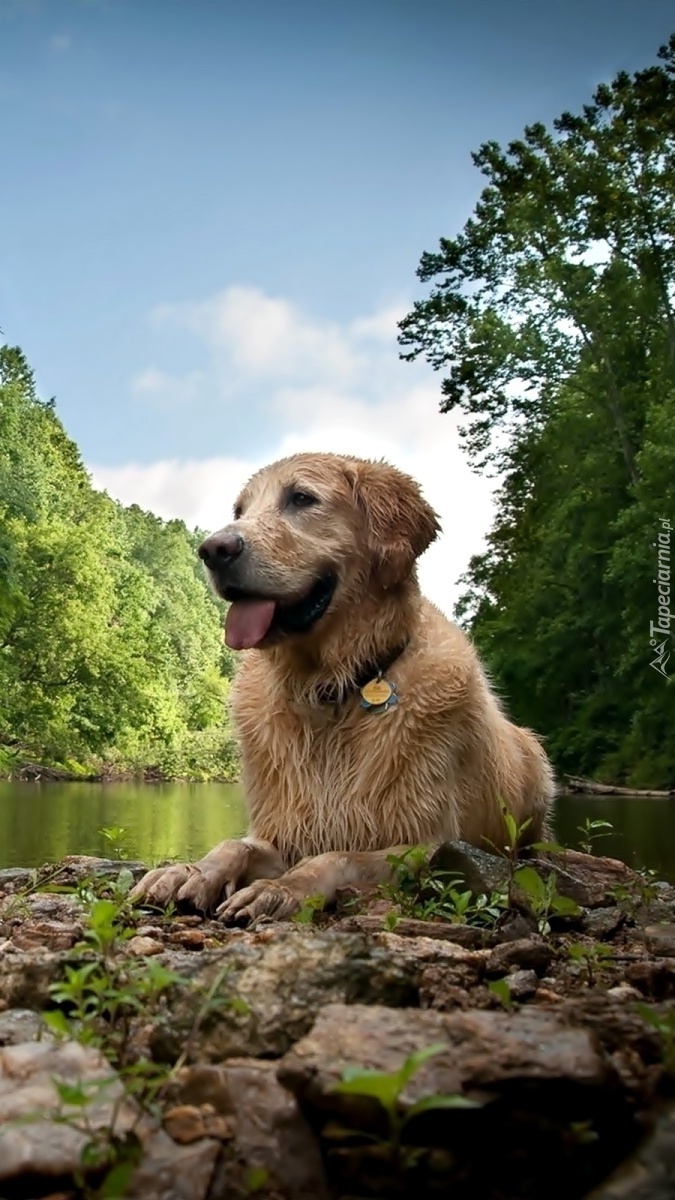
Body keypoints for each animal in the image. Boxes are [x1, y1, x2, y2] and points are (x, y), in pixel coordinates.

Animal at [130, 453, 552, 921]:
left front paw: (279, 889)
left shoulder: (425, 842)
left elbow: (336, 857)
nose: (213, 550)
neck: (331, 690)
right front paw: (187, 873)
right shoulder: (283, 830)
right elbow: (232, 845)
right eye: (239, 510)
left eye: (301, 498)